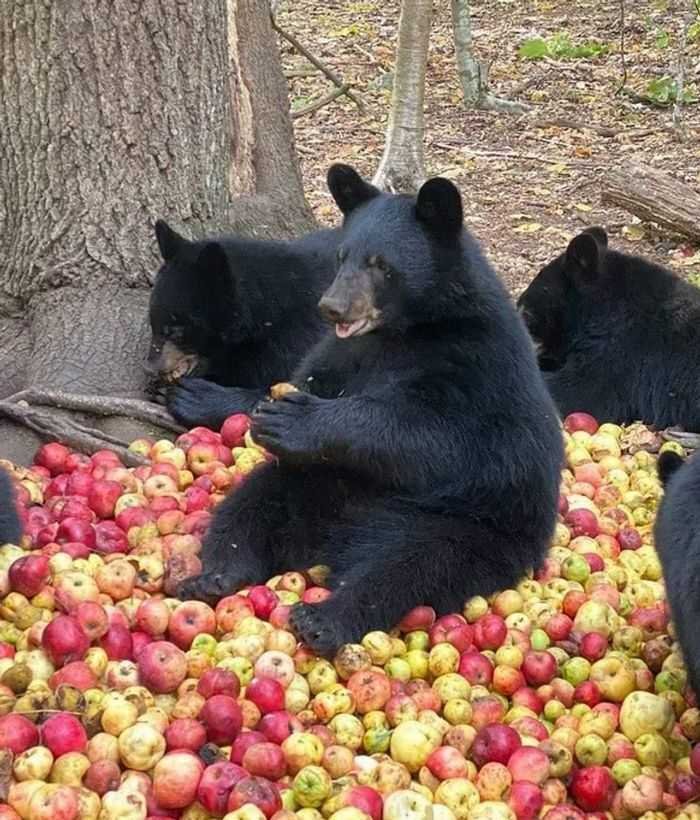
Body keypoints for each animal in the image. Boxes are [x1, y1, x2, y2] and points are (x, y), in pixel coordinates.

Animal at [179, 163, 564, 656]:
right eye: (343, 255)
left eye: (381, 264)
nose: (332, 307)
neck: (404, 331)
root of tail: (331, 541)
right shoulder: (344, 354)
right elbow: (311, 375)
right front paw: (266, 411)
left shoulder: (476, 364)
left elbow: (439, 436)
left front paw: (296, 420)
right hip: (312, 485)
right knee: (251, 504)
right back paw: (216, 575)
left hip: (466, 524)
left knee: (408, 564)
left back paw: (326, 618)